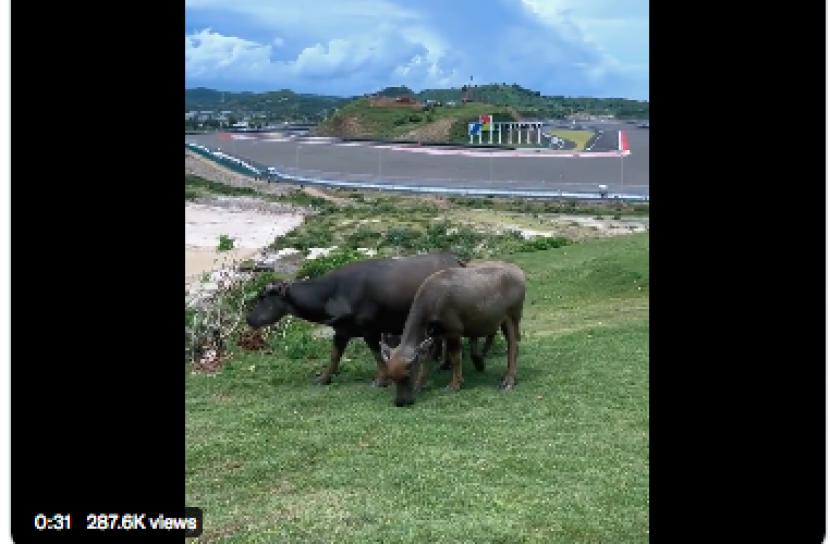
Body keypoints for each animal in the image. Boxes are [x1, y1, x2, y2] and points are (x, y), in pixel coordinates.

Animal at [247, 252, 468, 386]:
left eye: (264, 298)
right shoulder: (341, 331)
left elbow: (377, 355)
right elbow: (334, 356)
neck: (334, 293)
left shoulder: (370, 330)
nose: (249, 319)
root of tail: (455, 260)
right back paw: (443, 364)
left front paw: (380, 380)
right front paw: (324, 378)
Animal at [382, 262, 528, 406]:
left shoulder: (454, 332)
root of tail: (519, 272)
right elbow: (426, 360)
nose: (401, 402)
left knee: (513, 346)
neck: (434, 300)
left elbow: (455, 358)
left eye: (407, 375)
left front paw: (455, 384)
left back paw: (508, 381)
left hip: (512, 317)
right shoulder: (434, 335)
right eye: (391, 377)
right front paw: (420, 384)